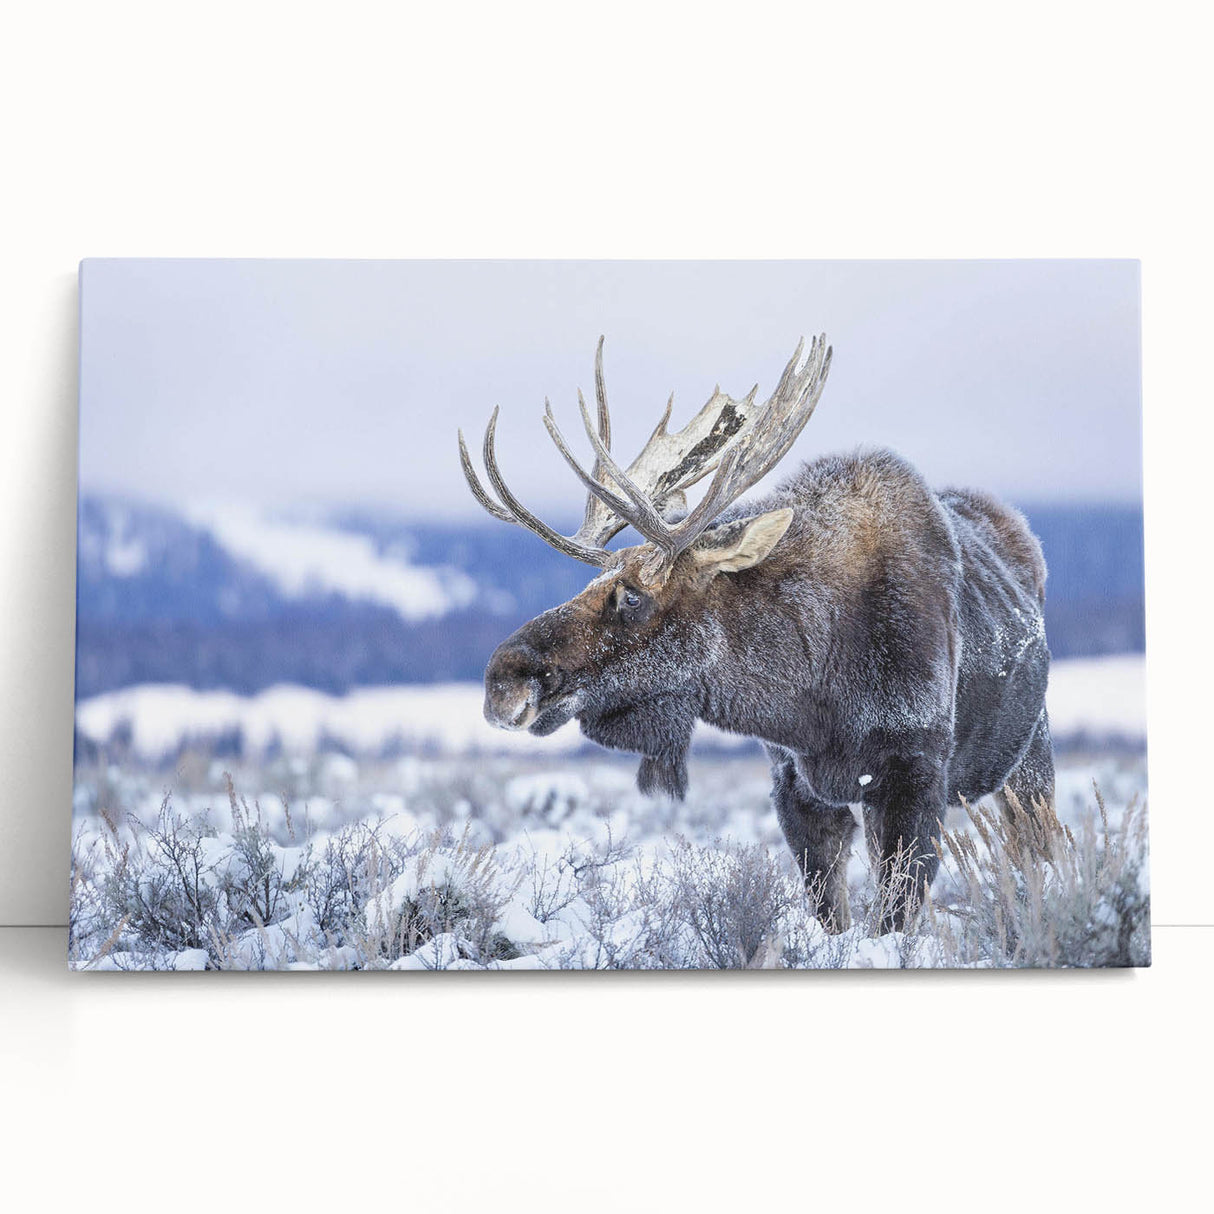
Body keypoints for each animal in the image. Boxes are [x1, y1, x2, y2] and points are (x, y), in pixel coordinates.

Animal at [458, 337, 1054, 932]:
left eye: (631, 596)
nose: (502, 680)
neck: (812, 694)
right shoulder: (794, 784)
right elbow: (831, 913)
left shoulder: (915, 774)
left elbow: (895, 916)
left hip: (1030, 757)